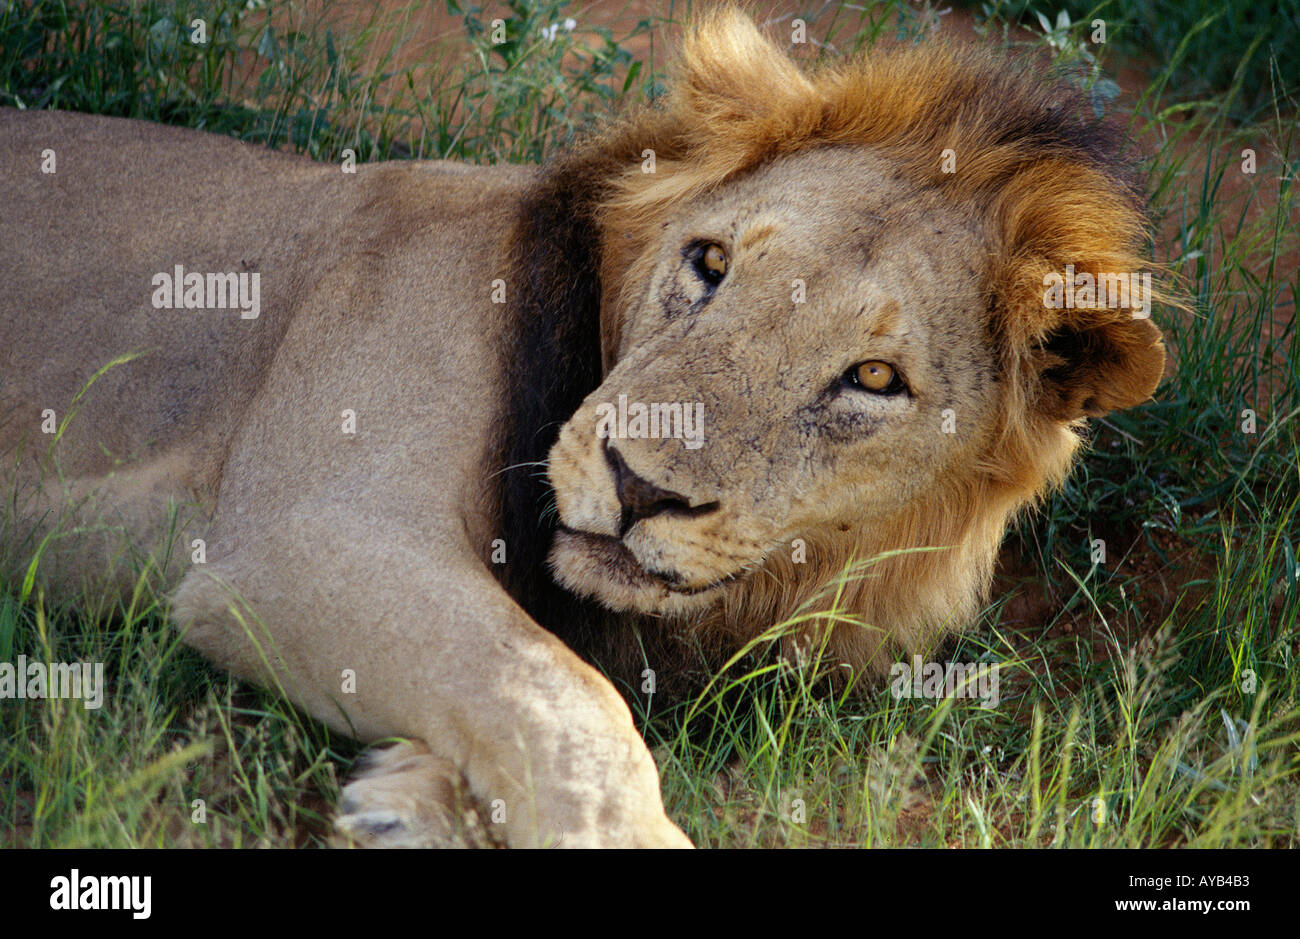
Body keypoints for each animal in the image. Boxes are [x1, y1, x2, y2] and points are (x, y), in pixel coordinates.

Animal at [2, 7, 1170, 842]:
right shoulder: (300, 540)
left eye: (873, 377)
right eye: (709, 263)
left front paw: (413, 800)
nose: (638, 483)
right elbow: (566, 700)